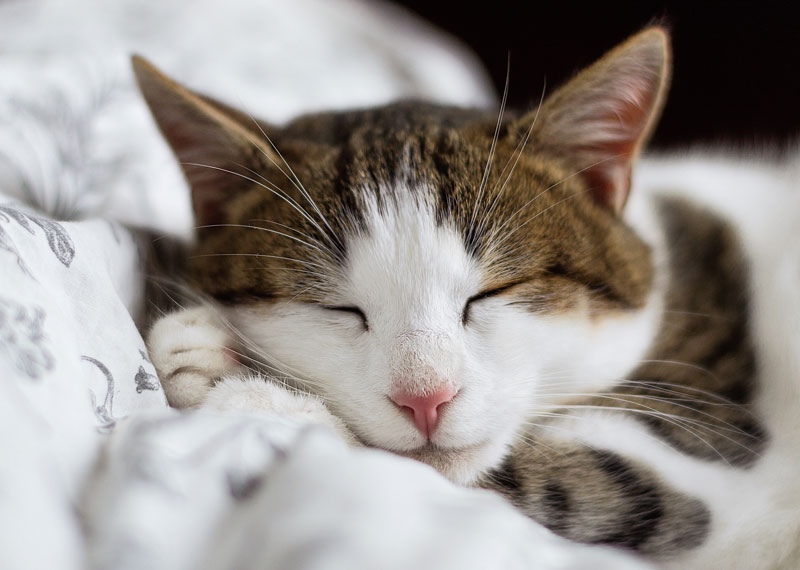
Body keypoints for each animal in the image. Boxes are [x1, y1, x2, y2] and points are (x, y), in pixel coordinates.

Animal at [134, 27, 800, 568]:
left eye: (492, 293)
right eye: (335, 307)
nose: (425, 399)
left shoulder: (718, 462)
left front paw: (263, 399)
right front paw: (207, 348)